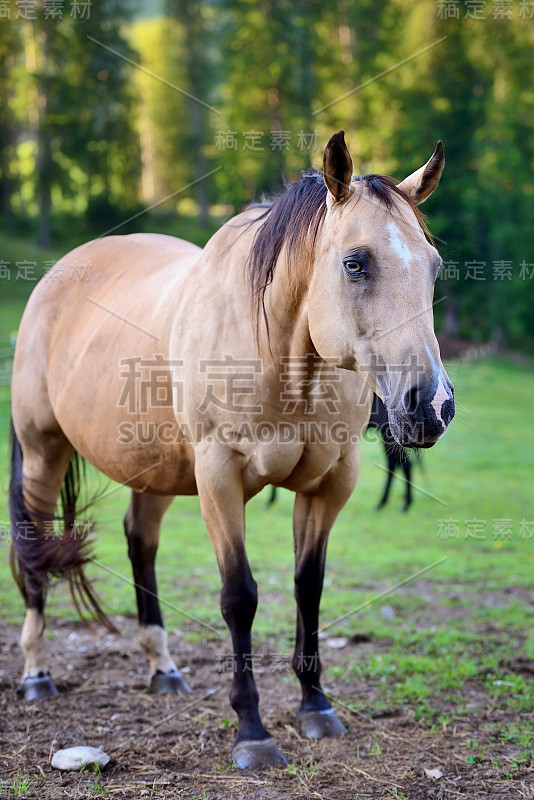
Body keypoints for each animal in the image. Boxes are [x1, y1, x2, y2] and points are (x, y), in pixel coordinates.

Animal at [9, 131, 456, 768]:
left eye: (434, 267)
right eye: (355, 263)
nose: (431, 404)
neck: (278, 355)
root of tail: (55, 278)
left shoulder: (329, 484)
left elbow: (308, 586)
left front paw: (315, 705)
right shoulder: (219, 479)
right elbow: (239, 597)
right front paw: (252, 731)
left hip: (153, 470)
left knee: (139, 542)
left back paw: (163, 667)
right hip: (43, 452)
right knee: (34, 548)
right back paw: (37, 673)